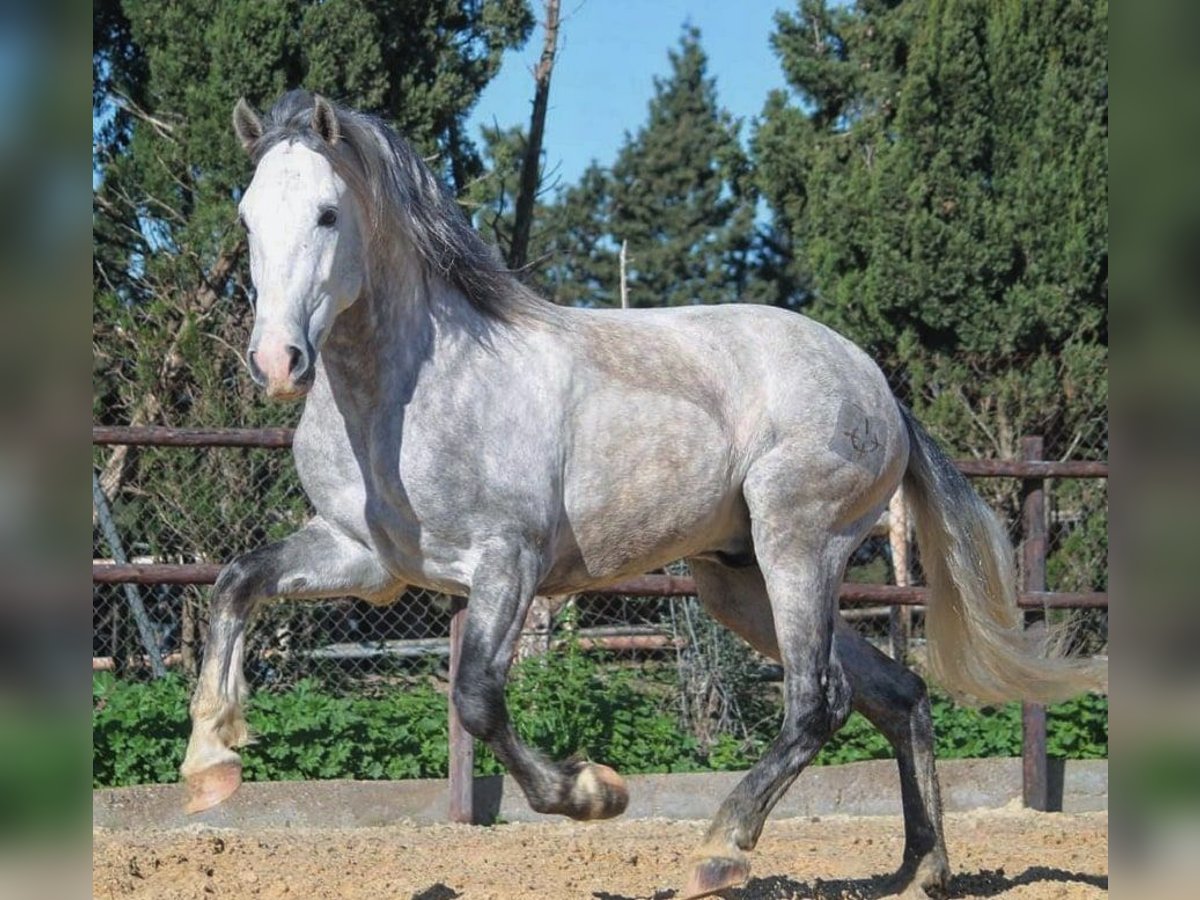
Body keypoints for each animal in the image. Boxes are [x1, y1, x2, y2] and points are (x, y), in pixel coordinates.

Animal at [180, 93, 1104, 900]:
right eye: (247, 218)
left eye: (328, 214)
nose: (277, 363)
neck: (411, 391)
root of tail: (879, 386)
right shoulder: (368, 559)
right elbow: (235, 581)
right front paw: (209, 768)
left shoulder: (506, 562)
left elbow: (476, 697)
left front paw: (597, 793)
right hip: (737, 582)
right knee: (895, 693)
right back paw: (920, 872)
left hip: (800, 547)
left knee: (820, 700)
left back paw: (720, 853)